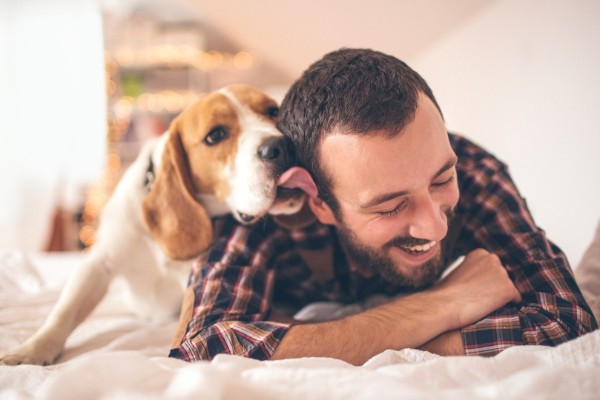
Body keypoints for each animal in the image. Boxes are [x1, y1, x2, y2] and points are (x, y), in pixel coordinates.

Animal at [0, 84, 308, 366]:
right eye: (216, 135)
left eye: (273, 111)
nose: (281, 146)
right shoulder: (99, 264)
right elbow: (64, 311)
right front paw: (31, 350)